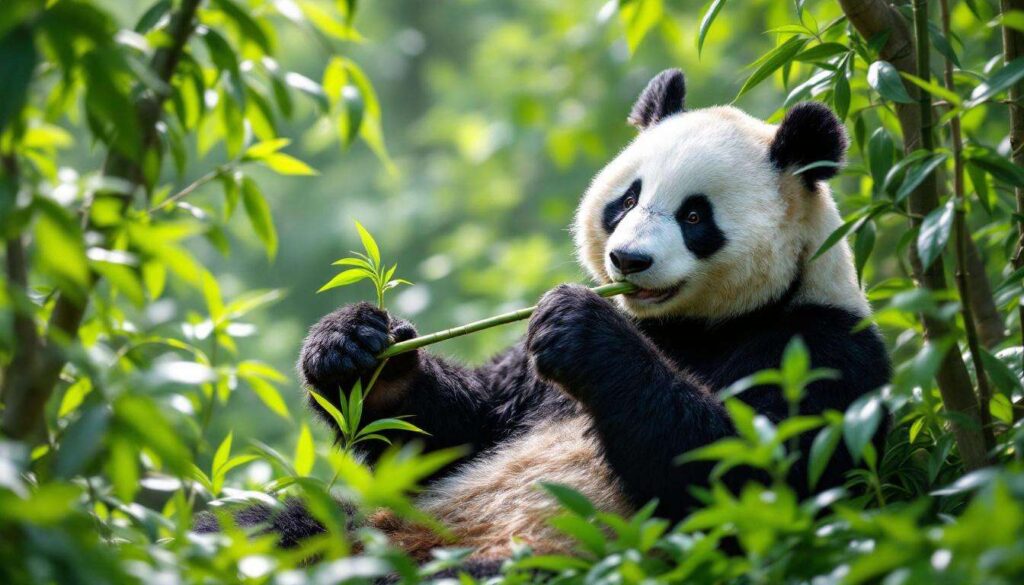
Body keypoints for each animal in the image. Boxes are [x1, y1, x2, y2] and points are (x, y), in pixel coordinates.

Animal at [201, 69, 891, 565]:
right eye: (627, 200)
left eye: (695, 216)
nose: (628, 260)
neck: (693, 326)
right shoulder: (524, 387)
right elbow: (451, 432)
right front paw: (354, 348)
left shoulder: (823, 351)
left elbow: (740, 478)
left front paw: (579, 328)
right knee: (259, 524)